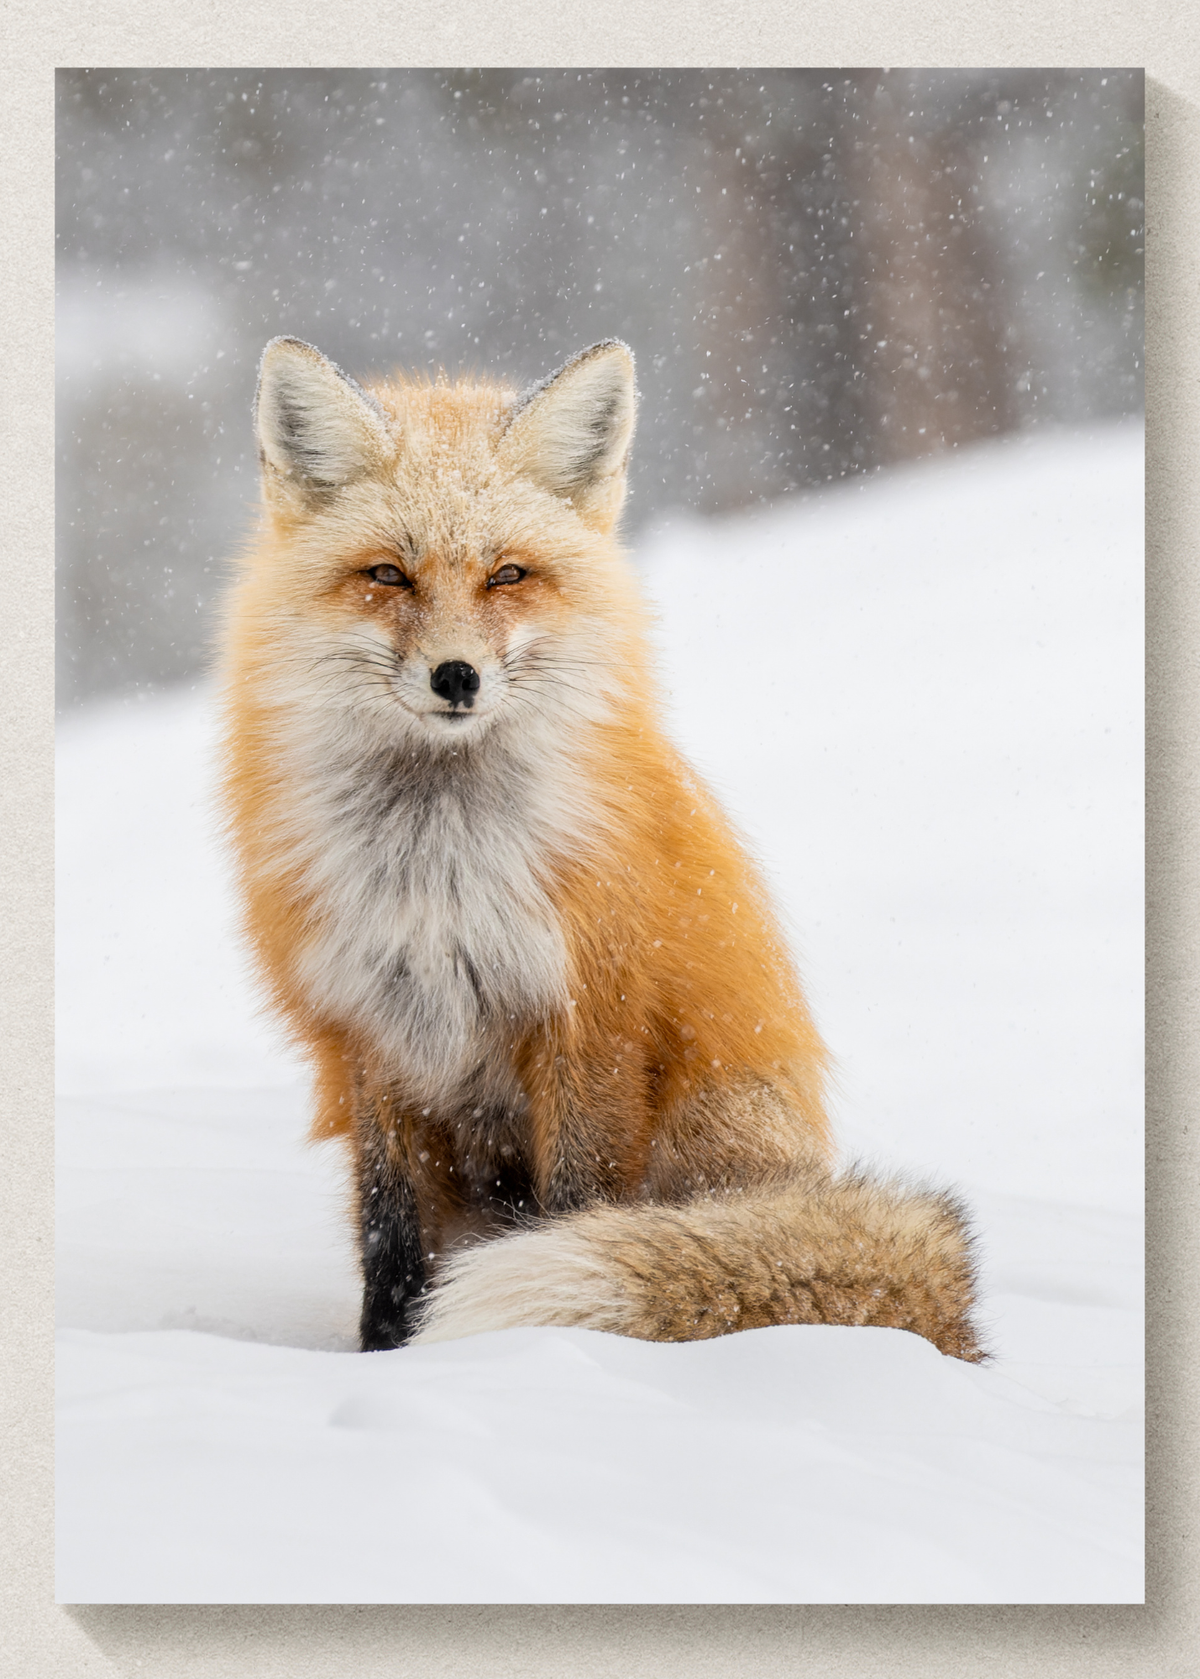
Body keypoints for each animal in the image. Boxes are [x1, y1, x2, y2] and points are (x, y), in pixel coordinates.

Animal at [218, 334, 985, 1362]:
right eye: (388, 575)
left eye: (507, 575)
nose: (456, 676)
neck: (439, 870)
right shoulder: (372, 1028)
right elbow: (390, 1229)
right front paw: (387, 1355)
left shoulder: (592, 1017)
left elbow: (578, 1201)